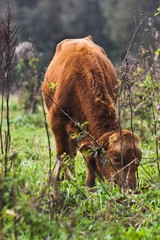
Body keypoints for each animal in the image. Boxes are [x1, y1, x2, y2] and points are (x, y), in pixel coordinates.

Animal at [42, 35, 142, 193]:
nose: (129, 190)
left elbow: (90, 158)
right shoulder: (56, 122)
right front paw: (63, 183)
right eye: (115, 159)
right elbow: (63, 155)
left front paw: (91, 184)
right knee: (69, 154)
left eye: (137, 162)